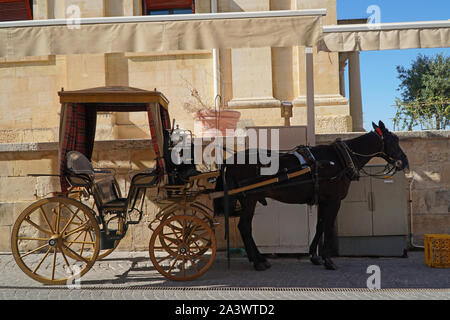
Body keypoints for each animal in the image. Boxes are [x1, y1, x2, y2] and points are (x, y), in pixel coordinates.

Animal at [213, 121, 410, 272]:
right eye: (394, 140)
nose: (404, 161)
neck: (338, 159)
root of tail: (231, 160)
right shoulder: (333, 201)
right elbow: (327, 227)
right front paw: (328, 260)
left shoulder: (323, 200)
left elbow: (320, 226)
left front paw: (315, 256)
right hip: (249, 199)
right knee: (244, 227)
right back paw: (257, 261)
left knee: (245, 227)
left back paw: (260, 258)